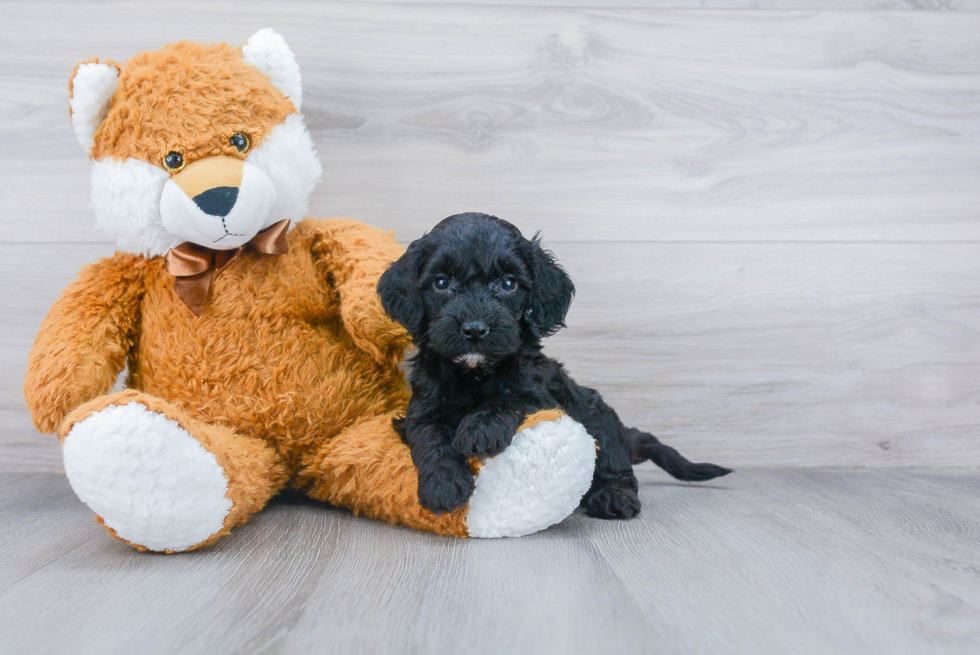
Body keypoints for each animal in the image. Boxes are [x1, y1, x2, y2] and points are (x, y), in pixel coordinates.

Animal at [378, 214, 732, 516]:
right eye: (442, 283)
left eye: (508, 284)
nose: (475, 329)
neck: (475, 372)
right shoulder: (423, 406)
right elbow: (431, 435)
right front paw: (443, 485)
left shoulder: (540, 392)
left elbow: (507, 398)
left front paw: (479, 429)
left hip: (599, 418)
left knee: (616, 466)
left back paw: (613, 497)